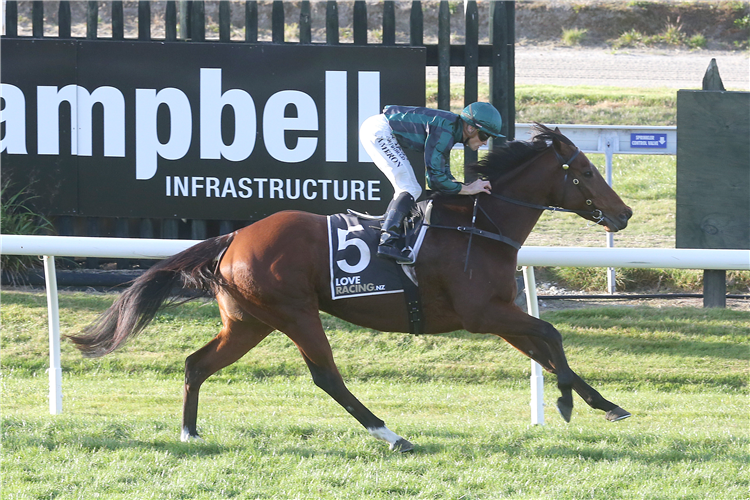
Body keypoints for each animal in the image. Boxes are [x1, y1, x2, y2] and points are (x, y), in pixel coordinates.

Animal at [69, 123, 636, 452]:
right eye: (585, 170)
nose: (625, 214)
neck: (479, 224)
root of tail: (233, 238)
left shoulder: (498, 313)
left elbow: (547, 351)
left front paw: (602, 403)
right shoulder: (483, 315)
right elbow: (552, 337)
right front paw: (568, 403)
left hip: (249, 321)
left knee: (196, 364)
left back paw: (189, 433)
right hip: (295, 313)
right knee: (327, 377)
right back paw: (392, 435)